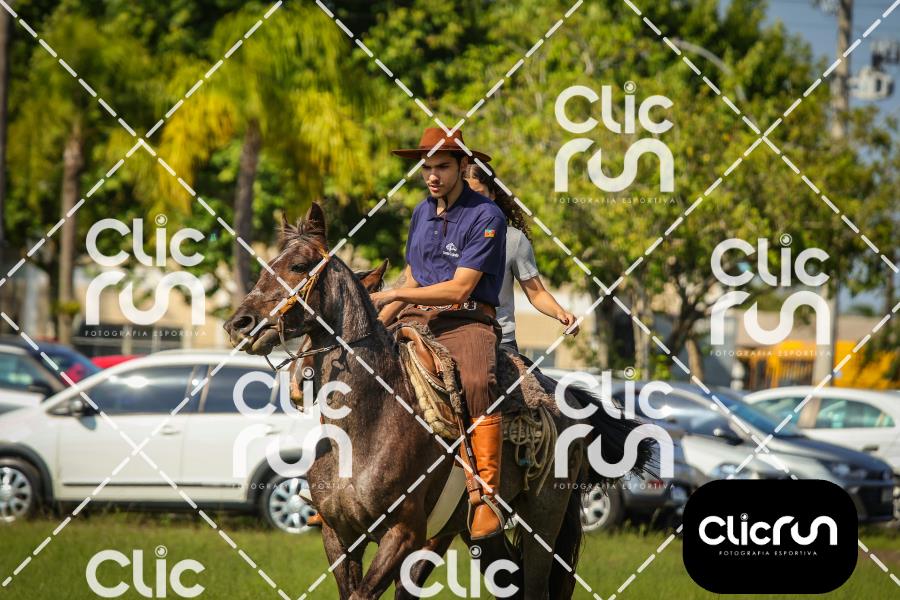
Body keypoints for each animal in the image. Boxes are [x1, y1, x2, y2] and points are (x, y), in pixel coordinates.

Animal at [224, 203, 652, 599]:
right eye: (266, 266)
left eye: (298, 265)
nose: (238, 323)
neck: (364, 427)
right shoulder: (339, 536)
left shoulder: (403, 532)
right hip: (474, 533)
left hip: (544, 520)